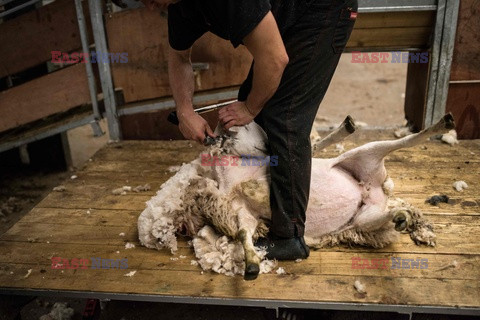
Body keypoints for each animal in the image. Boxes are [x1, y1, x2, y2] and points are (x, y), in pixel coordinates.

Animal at [137, 114, 456, 278]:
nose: (220, 127)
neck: (229, 176)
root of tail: (375, 189)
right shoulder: (242, 213)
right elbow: (242, 232)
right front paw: (251, 264)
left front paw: (254, 188)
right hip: (364, 218)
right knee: (384, 215)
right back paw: (401, 217)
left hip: (367, 152)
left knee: (406, 139)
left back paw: (443, 123)